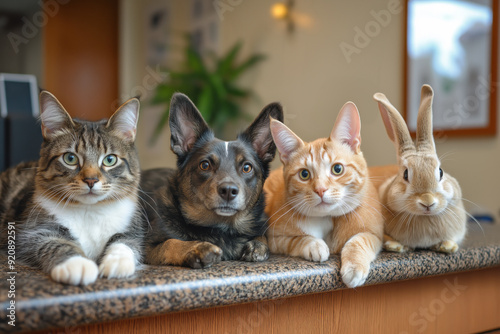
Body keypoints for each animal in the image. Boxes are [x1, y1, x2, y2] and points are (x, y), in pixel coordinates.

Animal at [0, 90, 145, 284]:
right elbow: (55, 243)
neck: (89, 211)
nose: (91, 180)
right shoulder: (30, 233)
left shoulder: (132, 229)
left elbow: (125, 241)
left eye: (110, 159)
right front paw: (77, 264)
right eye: (70, 158)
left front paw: (117, 261)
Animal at [141, 93, 284, 268]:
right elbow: (170, 243)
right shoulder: (147, 246)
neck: (222, 228)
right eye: (205, 165)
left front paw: (257, 245)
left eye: (247, 167)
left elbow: (262, 236)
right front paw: (195, 248)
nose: (228, 191)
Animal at [266, 102, 382, 288]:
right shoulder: (275, 238)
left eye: (337, 169)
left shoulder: (375, 235)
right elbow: (297, 239)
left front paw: (354, 266)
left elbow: (359, 240)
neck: (328, 219)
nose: (320, 190)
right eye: (304, 174)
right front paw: (315, 245)